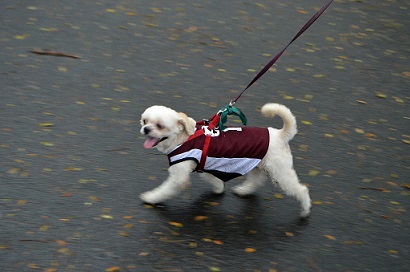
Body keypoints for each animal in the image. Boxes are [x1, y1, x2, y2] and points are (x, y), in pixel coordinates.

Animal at [140, 103, 310, 218]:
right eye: (144, 121)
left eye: (160, 126)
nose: (146, 129)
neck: (184, 139)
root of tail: (280, 135)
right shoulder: (203, 167)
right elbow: (213, 179)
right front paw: (218, 188)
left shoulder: (178, 177)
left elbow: (164, 190)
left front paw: (151, 198)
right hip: (256, 164)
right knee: (256, 181)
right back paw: (244, 190)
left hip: (280, 174)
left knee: (301, 190)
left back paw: (305, 210)